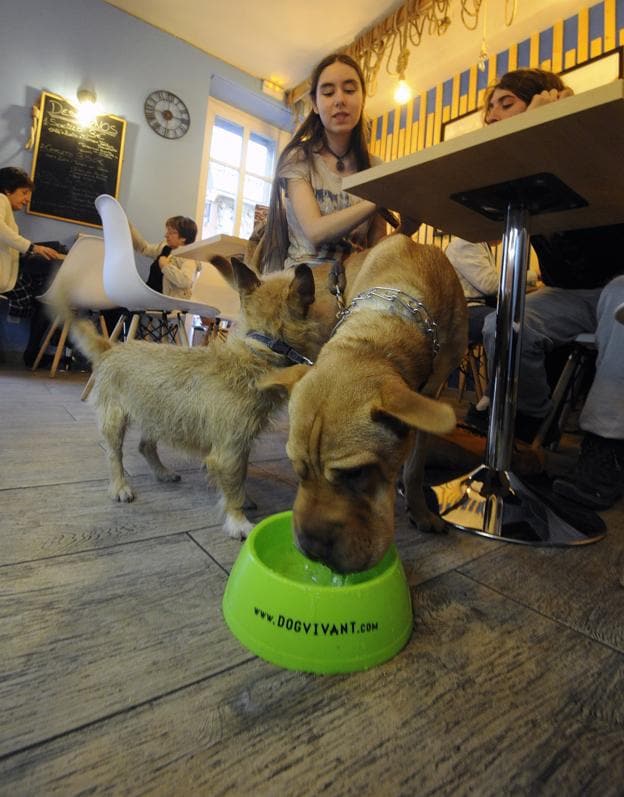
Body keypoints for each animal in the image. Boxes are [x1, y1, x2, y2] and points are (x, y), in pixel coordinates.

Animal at [52, 255, 356, 536]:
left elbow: (241, 477)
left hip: (158, 415)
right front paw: (238, 521)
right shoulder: (229, 450)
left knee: (145, 446)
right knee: (115, 455)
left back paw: (162, 472)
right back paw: (119, 486)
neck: (257, 352)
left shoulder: (240, 445)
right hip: (115, 420)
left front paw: (245, 498)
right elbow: (232, 484)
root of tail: (110, 348)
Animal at [262, 235, 468, 572]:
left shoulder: (432, 395)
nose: (312, 549)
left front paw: (420, 510)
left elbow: (415, 468)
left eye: (356, 473)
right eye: (297, 469)